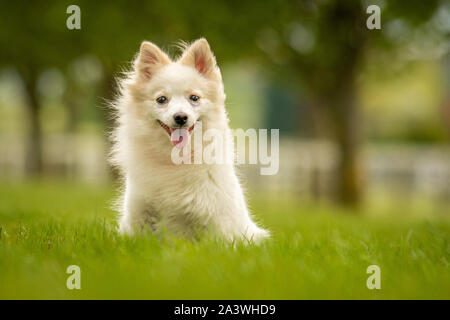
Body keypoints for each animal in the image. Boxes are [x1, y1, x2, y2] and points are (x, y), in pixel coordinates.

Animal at [110, 38, 268, 242]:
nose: (180, 117)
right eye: (161, 99)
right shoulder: (138, 214)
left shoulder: (216, 220)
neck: (174, 160)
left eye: (194, 98)